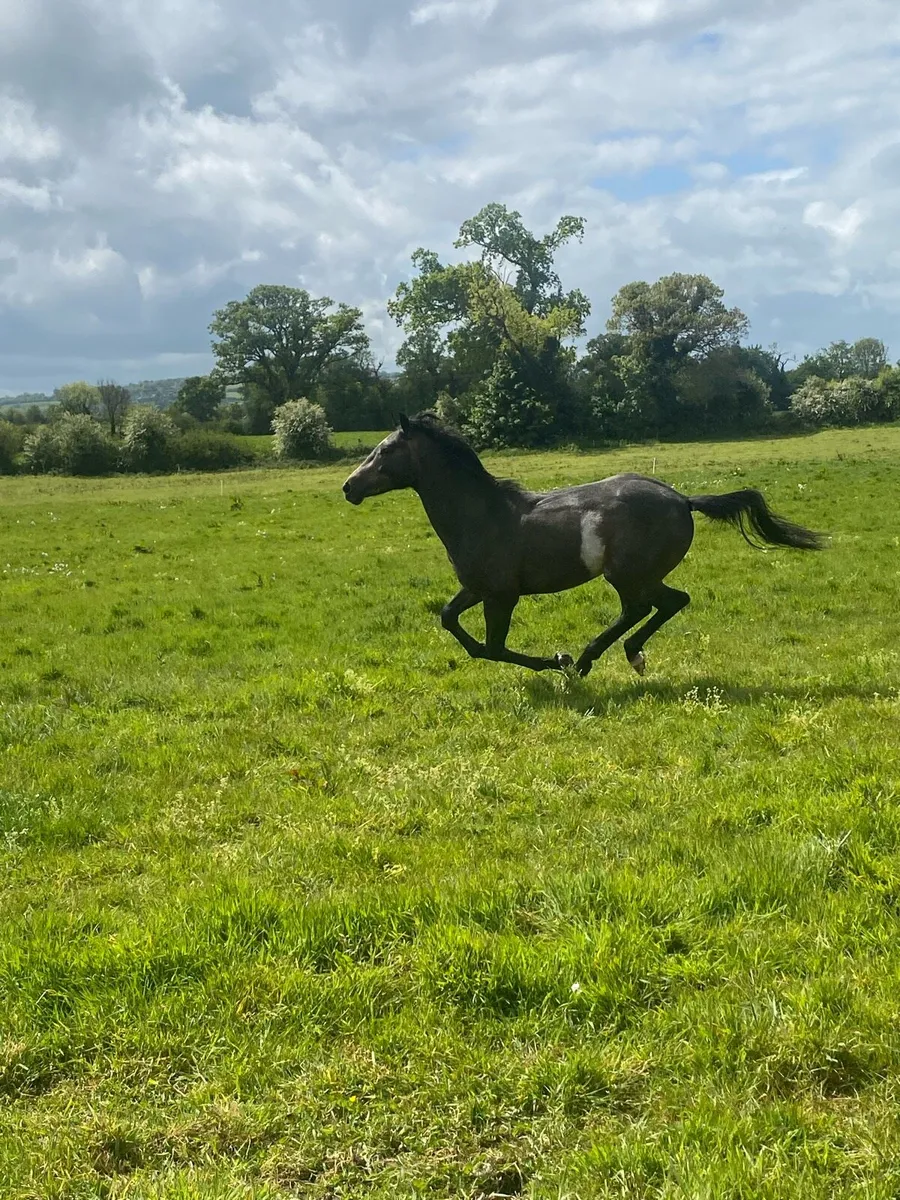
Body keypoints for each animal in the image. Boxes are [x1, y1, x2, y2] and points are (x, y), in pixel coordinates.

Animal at [341, 412, 825, 677]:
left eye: (384, 451)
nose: (349, 487)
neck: (482, 515)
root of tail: (682, 499)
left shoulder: (501, 595)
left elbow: (494, 648)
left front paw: (561, 660)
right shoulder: (478, 587)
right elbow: (450, 622)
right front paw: (557, 659)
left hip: (628, 574)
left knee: (646, 607)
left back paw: (596, 658)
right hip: (640, 575)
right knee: (669, 602)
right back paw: (628, 654)